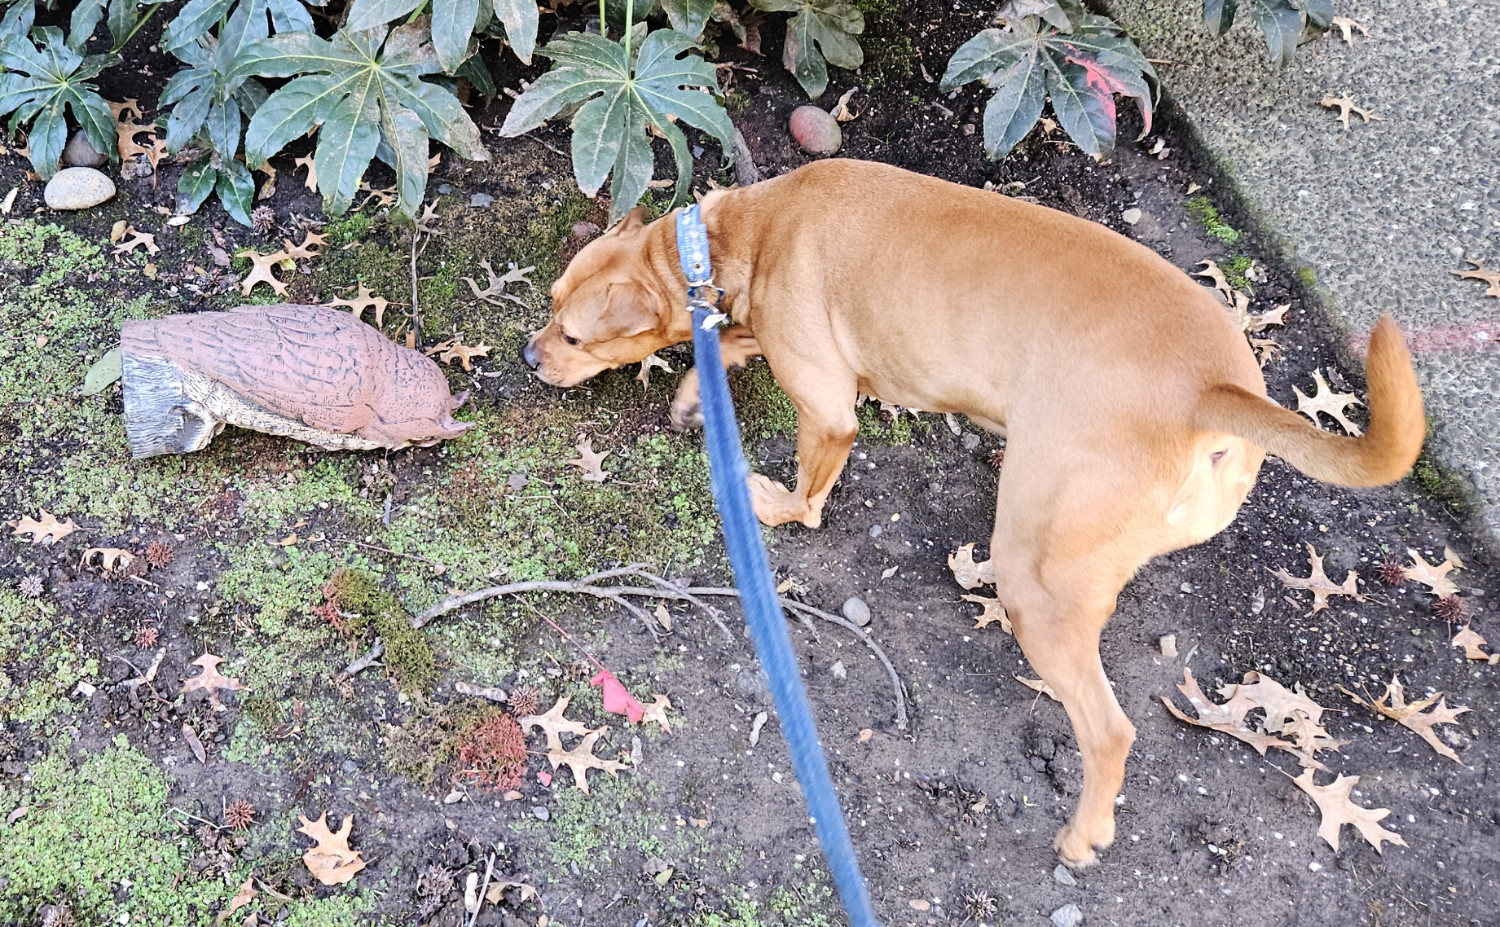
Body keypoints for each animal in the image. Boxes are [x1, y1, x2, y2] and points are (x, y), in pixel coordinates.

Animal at [522, 156, 1422, 858]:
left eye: (572, 336)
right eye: (553, 303)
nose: (529, 357)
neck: (740, 233)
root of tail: (1214, 390)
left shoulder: (829, 408)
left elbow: (805, 498)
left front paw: (759, 491)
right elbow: (728, 346)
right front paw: (689, 397)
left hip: (1037, 583)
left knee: (1109, 730)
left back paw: (1083, 835)